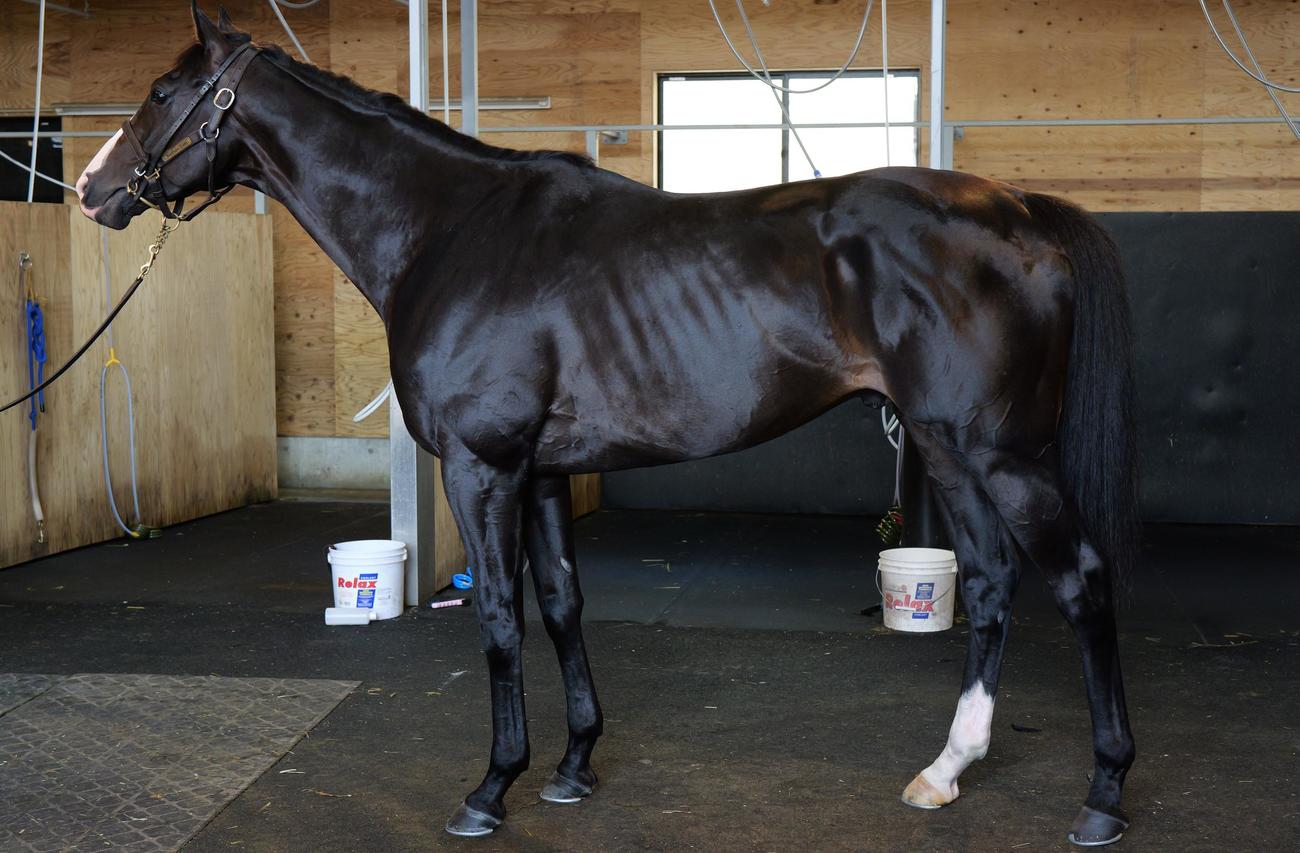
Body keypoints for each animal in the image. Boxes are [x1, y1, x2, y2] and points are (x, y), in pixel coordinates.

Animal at [75, 5, 1138, 846]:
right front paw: (575, 765)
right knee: (993, 584)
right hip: (948, 447)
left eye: (165, 92)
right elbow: (561, 604)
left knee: (1082, 580)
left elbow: (501, 620)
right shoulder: (543, 472)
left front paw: (491, 787)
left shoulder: (482, 468)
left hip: (1005, 453)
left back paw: (1103, 795)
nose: (91, 189)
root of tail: (1017, 209)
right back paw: (945, 770)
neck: (450, 232)